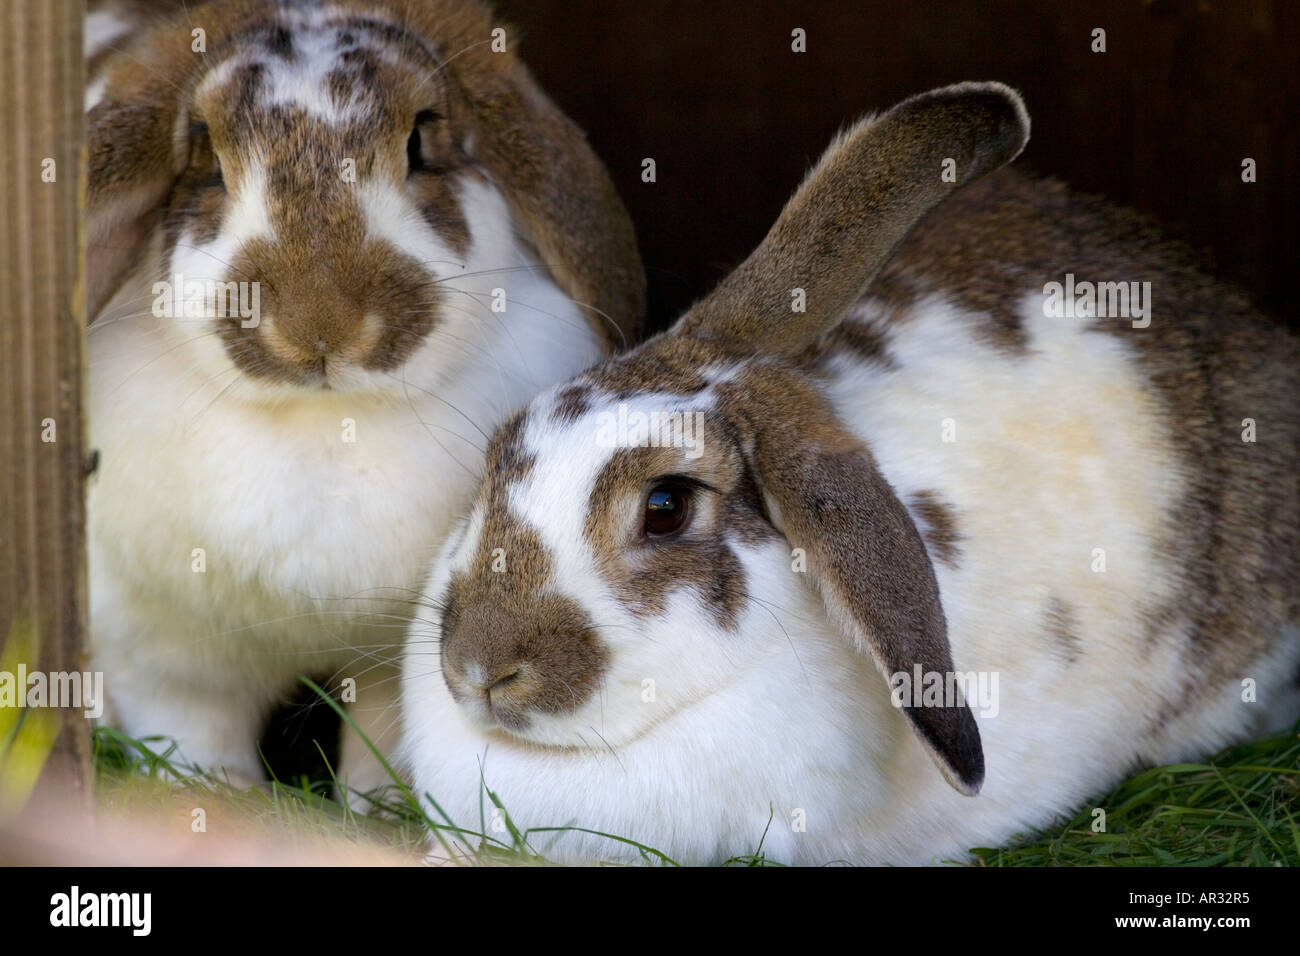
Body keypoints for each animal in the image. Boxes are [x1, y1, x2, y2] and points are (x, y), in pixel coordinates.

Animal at [85, 0, 644, 790]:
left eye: (420, 140)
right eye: (206, 160)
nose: (320, 323)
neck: (326, 426)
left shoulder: (397, 660)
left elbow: (381, 737)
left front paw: (372, 806)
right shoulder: (166, 657)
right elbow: (198, 737)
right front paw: (214, 795)